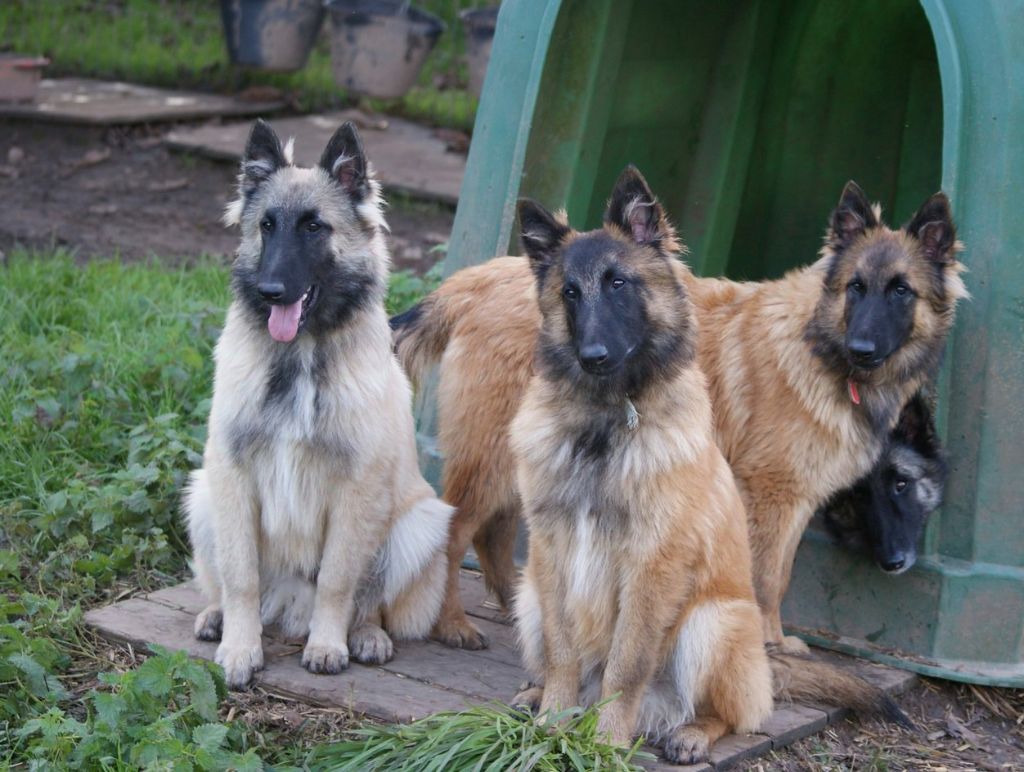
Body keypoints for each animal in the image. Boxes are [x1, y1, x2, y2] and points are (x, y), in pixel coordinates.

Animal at [183, 120, 452, 683]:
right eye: (266, 226)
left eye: (313, 227)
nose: (270, 291)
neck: (301, 354)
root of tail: (290, 602)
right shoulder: (232, 475)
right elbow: (241, 576)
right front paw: (241, 646)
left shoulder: (356, 490)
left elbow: (337, 579)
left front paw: (327, 644)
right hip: (201, 496)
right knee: (229, 582)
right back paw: (218, 616)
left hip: (420, 524)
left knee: (369, 600)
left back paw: (365, 635)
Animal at [391, 179, 966, 651]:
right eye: (855, 288)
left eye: (901, 290)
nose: (863, 349)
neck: (819, 346)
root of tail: (477, 278)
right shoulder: (771, 497)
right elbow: (766, 578)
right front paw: (767, 643)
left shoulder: (791, 500)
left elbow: (779, 574)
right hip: (492, 459)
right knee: (455, 532)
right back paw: (451, 624)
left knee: (494, 533)